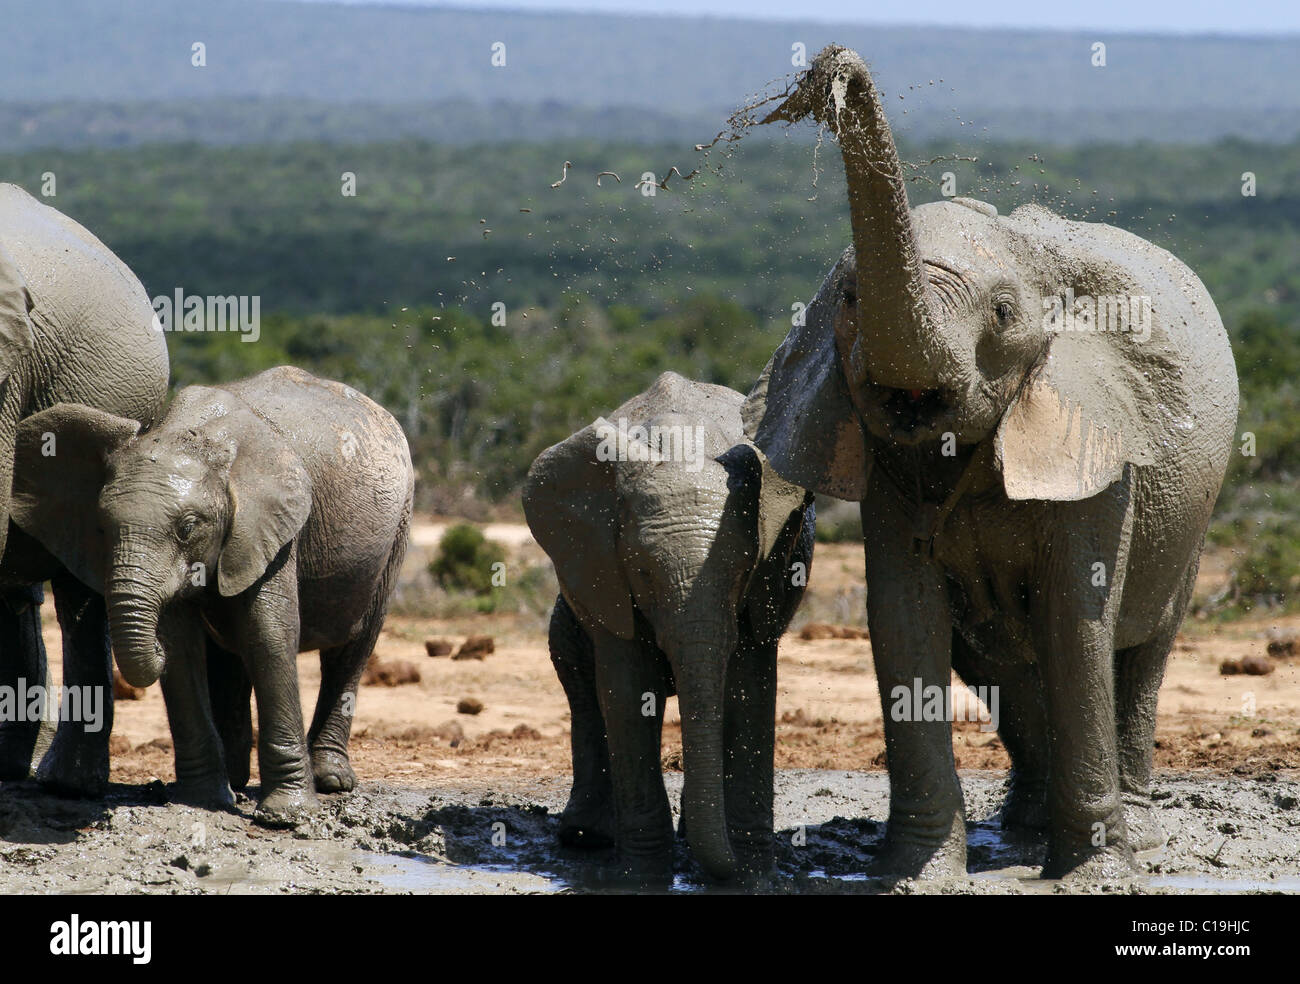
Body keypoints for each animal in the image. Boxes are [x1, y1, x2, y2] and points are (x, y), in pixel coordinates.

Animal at [10, 366, 413, 821]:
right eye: (101, 529)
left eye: (188, 527)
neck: (195, 438)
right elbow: (183, 648)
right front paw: (201, 801)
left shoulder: (272, 527)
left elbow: (268, 636)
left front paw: (286, 816)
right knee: (228, 657)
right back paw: (235, 781)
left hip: (396, 530)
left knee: (351, 649)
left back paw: (330, 781)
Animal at [517, 371, 811, 878]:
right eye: (644, 574)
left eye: (742, 571)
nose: (727, 865)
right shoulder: (607, 573)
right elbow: (627, 690)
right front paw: (643, 874)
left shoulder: (768, 577)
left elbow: (749, 688)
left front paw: (752, 873)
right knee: (578, 677)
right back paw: (585, 839)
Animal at [743, 46, 1237, 878]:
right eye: (848, 299)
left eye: (1003, 315)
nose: (835, 68)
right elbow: (904, 618)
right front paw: (914, 878)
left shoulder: (1098, 441)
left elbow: (1077, 620)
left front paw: (1094, 875)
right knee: (1000, 663)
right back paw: (1024, 829)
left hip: (1193, 522)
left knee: (1142, 648)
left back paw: (1135, 832)